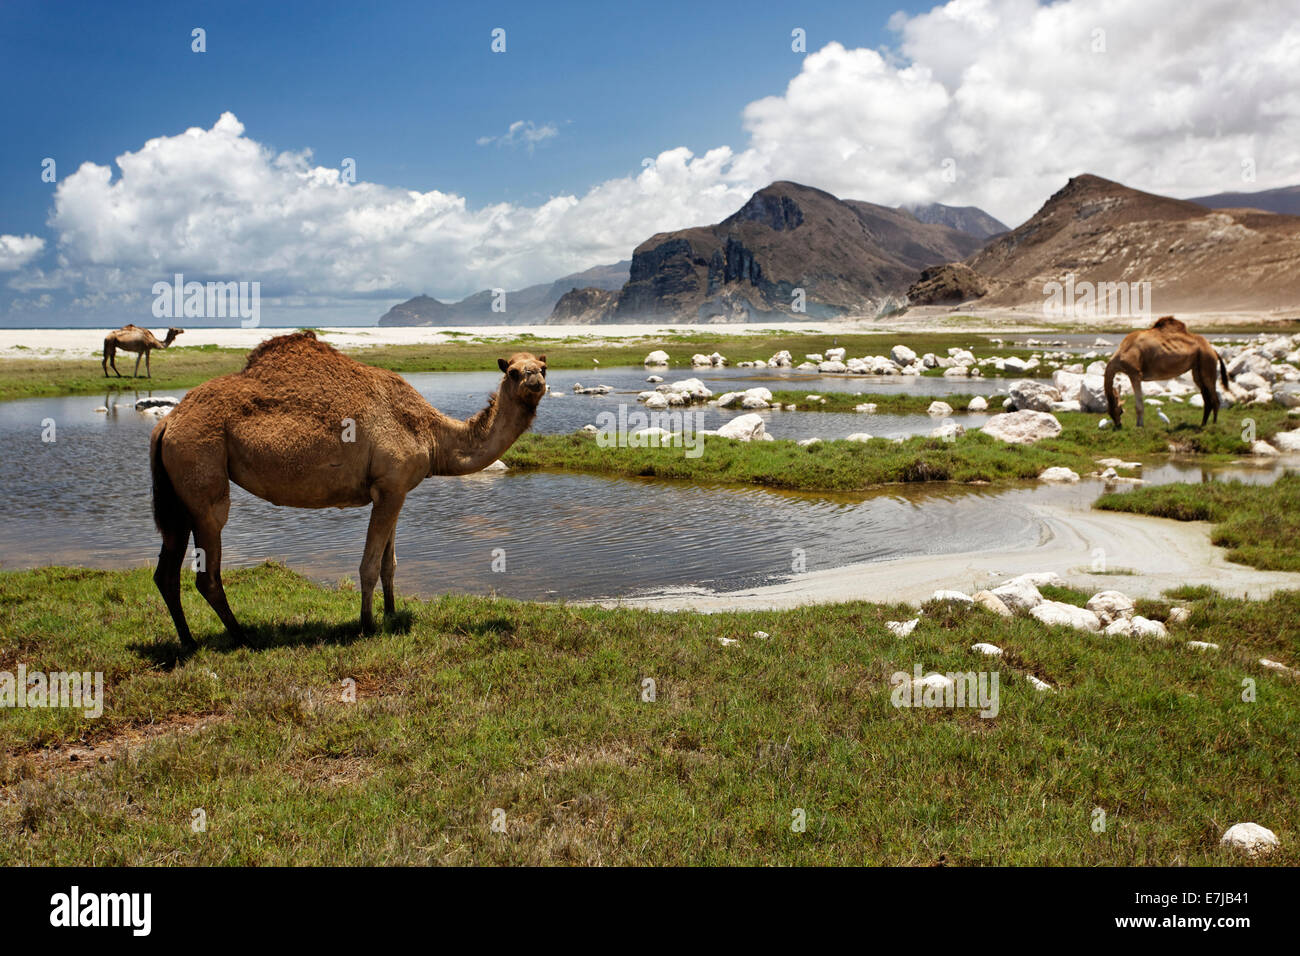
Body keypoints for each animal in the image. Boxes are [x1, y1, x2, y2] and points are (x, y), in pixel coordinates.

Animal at [149, 330, 546, 650]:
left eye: (543, 367)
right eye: (513, 371)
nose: (535, 383)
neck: (432, 434)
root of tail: (167, 423)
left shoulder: (395, 490)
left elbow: (389, 564)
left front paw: (391, 614)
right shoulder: (389, 488)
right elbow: (369, 565)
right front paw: (366, 625)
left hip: (178, 495)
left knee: (166, 571)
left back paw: (188, 642)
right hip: (203, 474)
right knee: (208, 572)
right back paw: (243, 637)